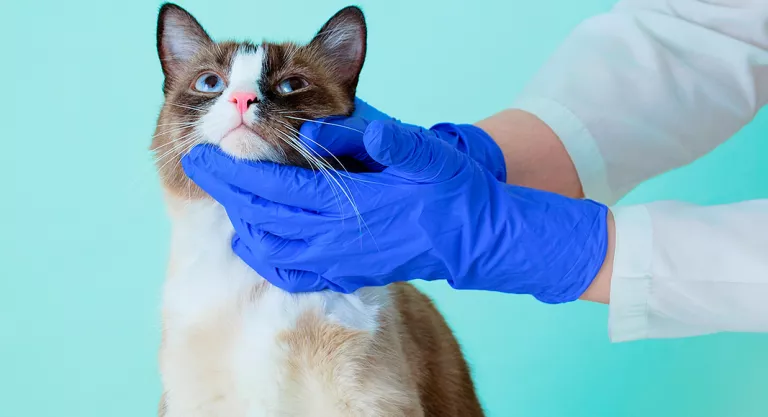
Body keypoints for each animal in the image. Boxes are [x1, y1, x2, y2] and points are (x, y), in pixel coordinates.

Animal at [152, 4, 484, 416]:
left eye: (291, 85)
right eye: (210, 83)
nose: (242, 99)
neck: (255, 274)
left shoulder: (369, 401)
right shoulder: (195, 401)